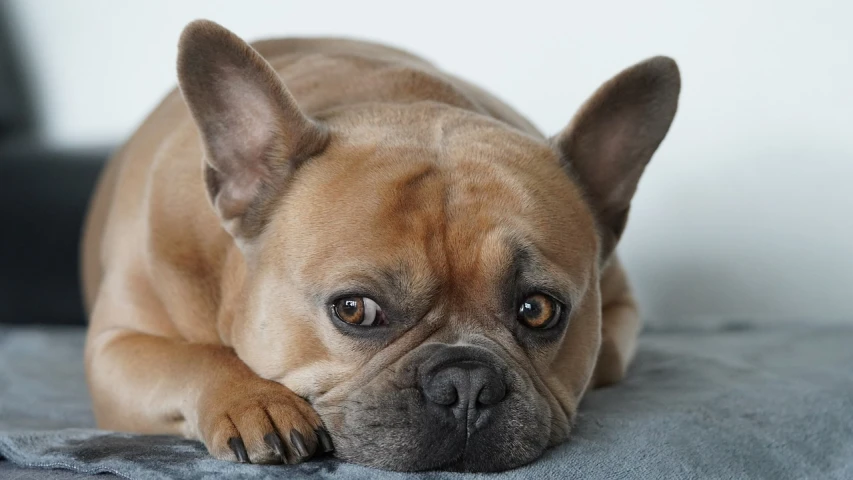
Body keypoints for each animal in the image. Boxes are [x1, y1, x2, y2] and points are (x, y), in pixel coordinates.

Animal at [80, 19, 680, 472]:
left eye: (538, 310)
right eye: (354, 310)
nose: (467, 383)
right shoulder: (114, 349)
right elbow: (195, 357)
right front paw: (256, 401)